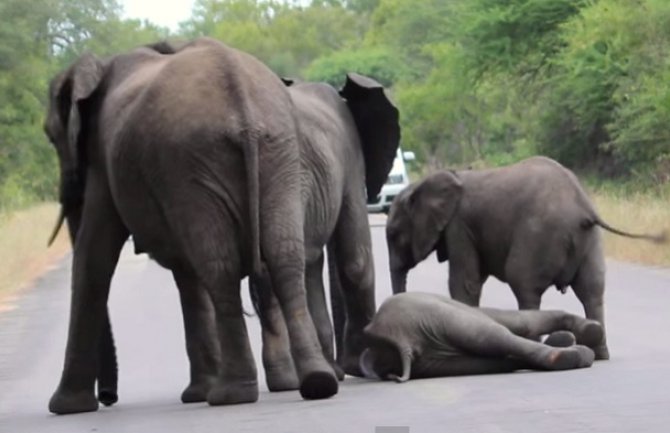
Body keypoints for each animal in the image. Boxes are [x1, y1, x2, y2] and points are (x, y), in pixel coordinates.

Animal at [43, 38, 400, 414]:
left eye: (51, 136)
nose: (109, 398)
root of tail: (240, 100)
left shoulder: (104, 159)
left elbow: (93, 257)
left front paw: (66, 407)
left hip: (202, 160)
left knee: (224, 267)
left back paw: (236, 394)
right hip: (264, 157)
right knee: (281, 259)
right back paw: (314, 381)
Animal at [360, 290, 608, 382]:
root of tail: (401, 343)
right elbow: (518, 324)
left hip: (433, 362)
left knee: (497, 355)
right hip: (433, 317)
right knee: (497, 333)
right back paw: (580, 351)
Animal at [384, 155, 668, 358]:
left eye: (394, 234)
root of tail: (583, 208)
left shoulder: (459, 226)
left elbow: (465, 283)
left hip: (538, 235)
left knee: (525, 285)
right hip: (591, 242)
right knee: (592, 291)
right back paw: (599, 354)